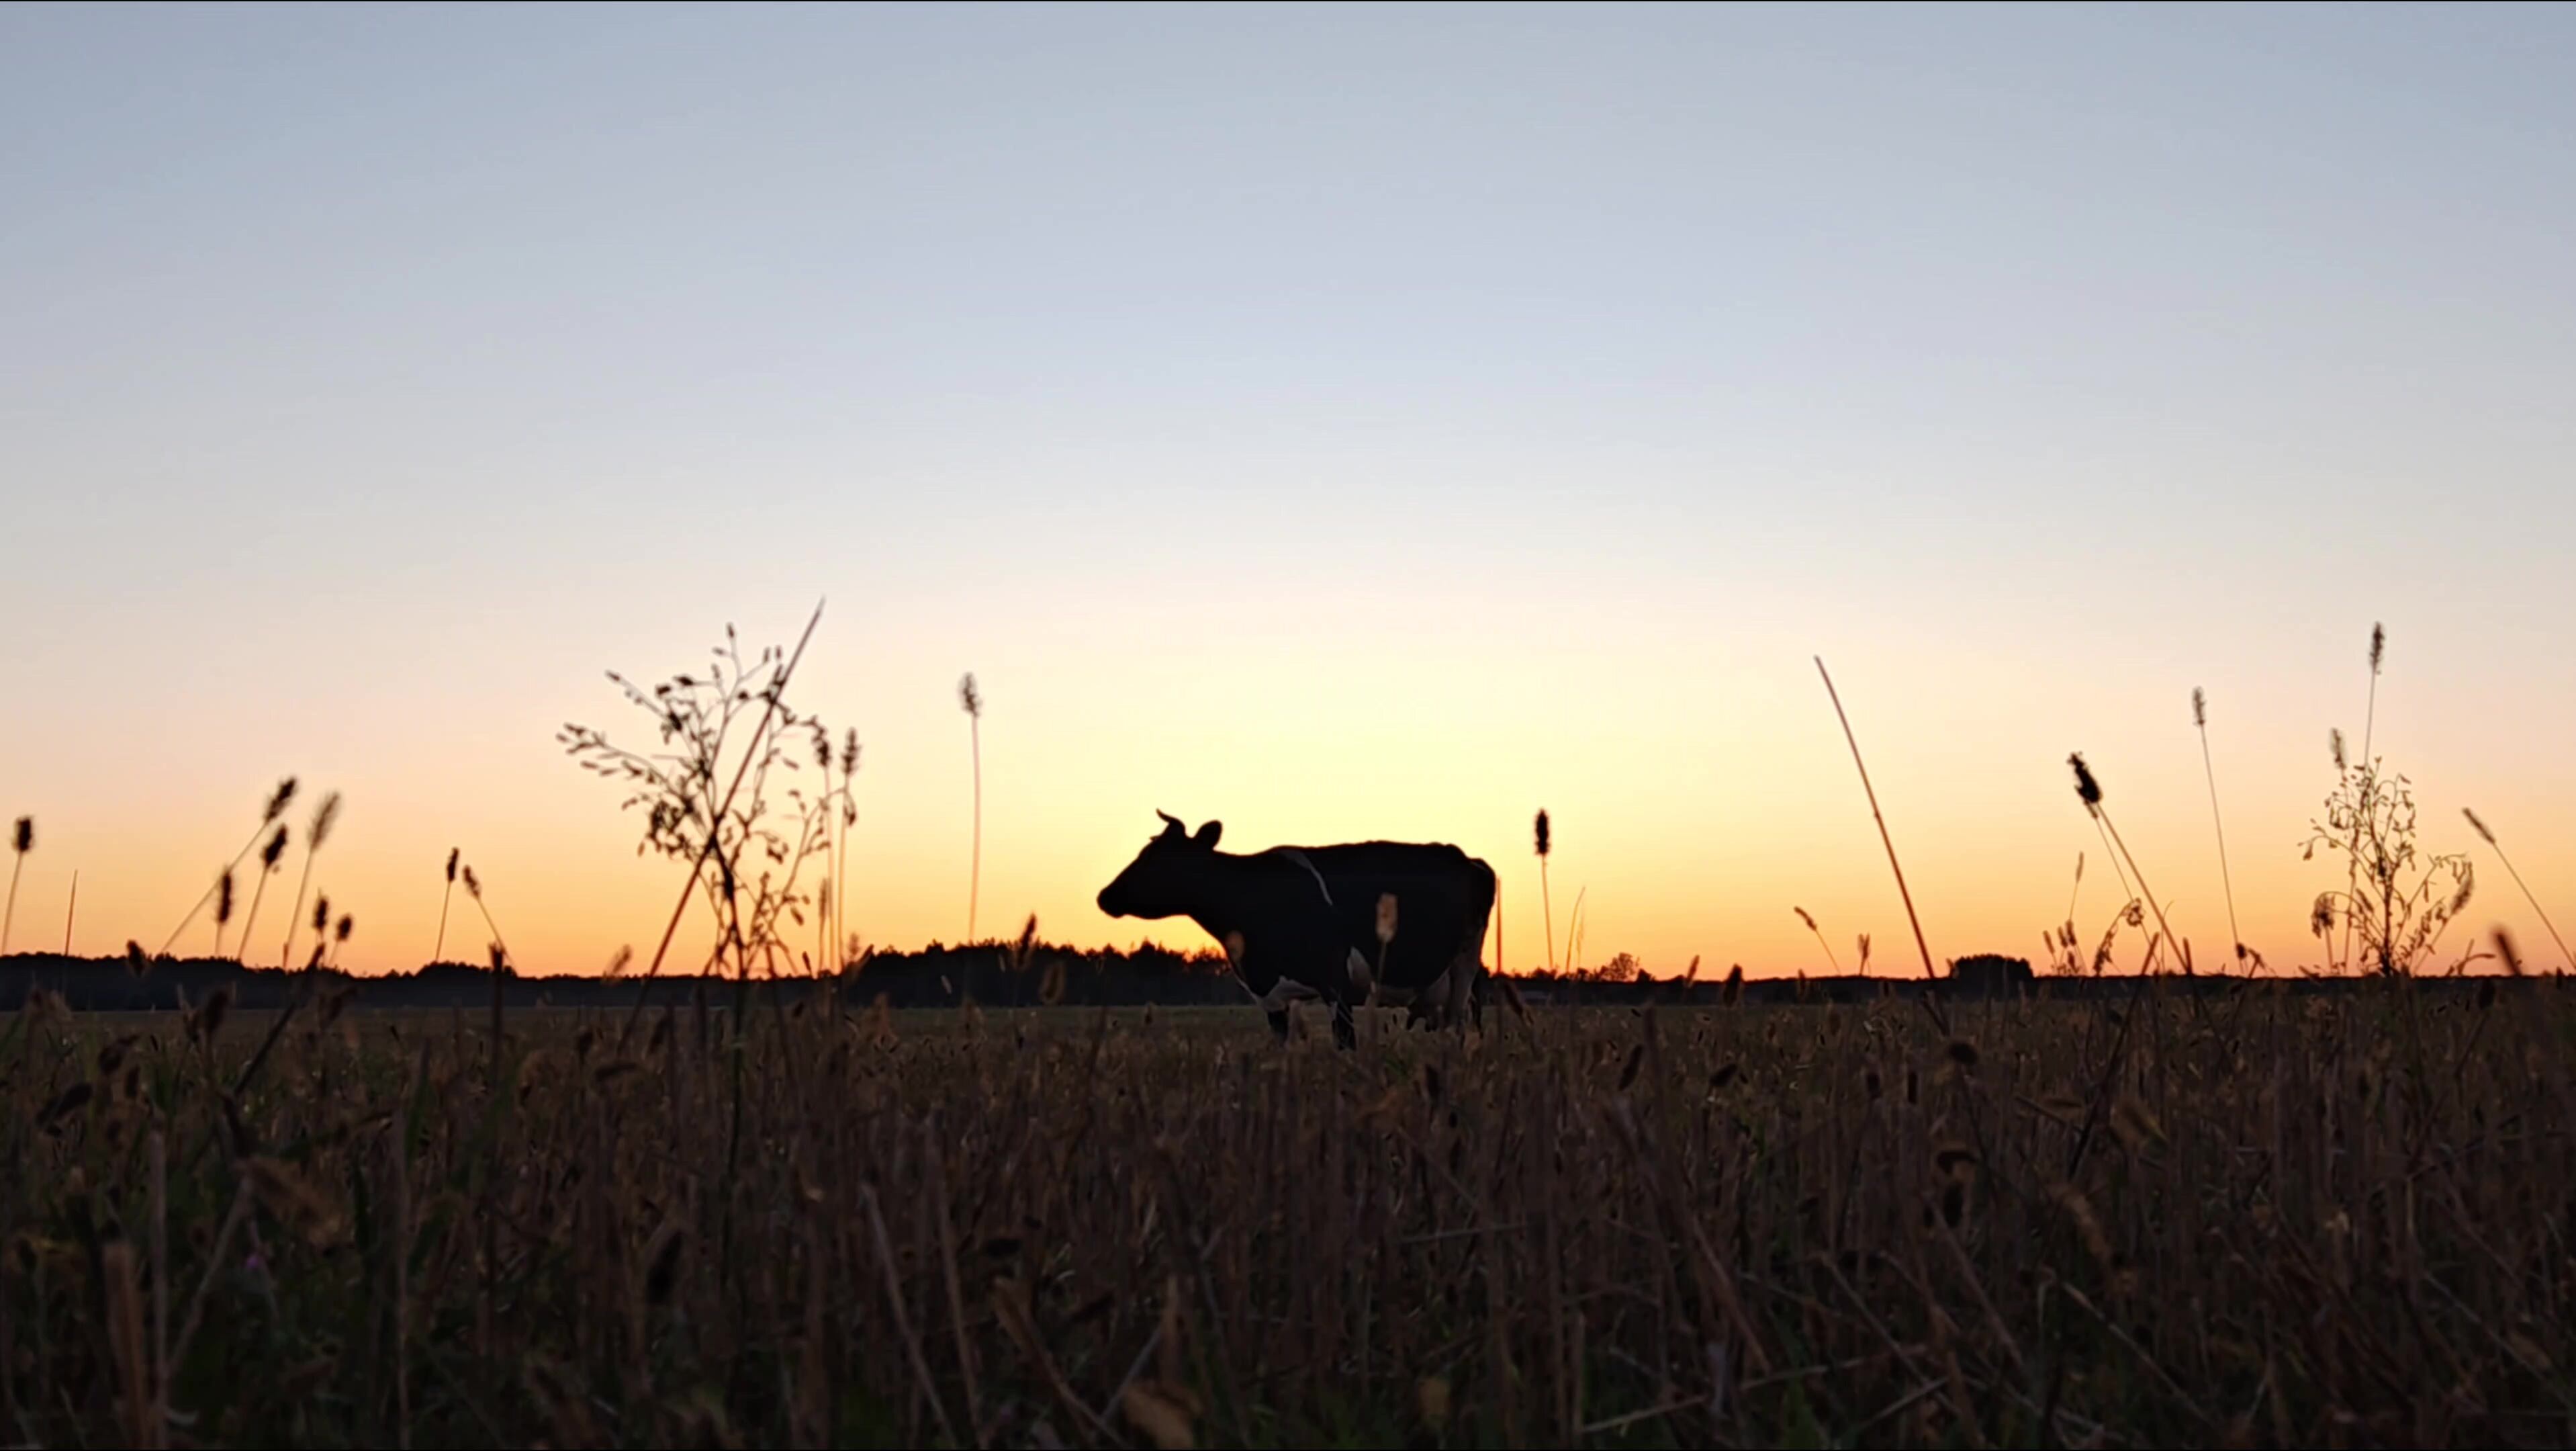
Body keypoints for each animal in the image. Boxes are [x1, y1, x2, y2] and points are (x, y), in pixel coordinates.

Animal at [1095, 813, 1497, 1048]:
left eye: (1158, 858)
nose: (1105, 896)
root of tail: (1469, 858)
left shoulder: (1335, 983)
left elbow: (1345, 1045)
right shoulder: (1268, 996)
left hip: (1464, 970)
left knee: (1459, 1028)